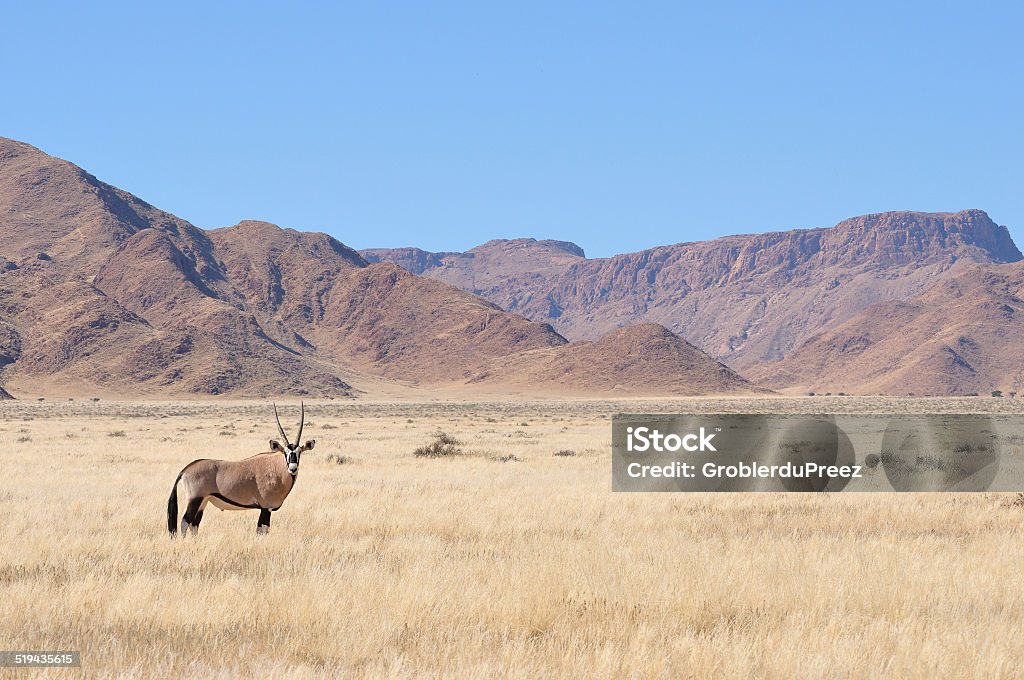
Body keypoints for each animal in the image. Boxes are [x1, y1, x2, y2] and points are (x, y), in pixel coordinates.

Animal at [166, 401, 315, 532]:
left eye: (299, 452)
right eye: (285, 453)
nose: (293, 468)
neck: (276, 469)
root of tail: (186, 469)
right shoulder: (266, 508)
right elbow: (262, 530)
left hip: (204, 501)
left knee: (194, 524)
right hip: (195, 500)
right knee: (185, 521)